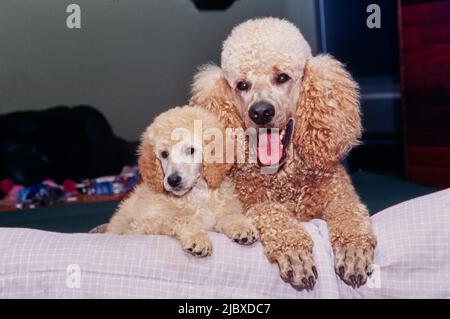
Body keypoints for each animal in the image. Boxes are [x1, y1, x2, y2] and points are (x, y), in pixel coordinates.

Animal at [106, 106, 258, 258]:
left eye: (190, 150)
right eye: (164, 154)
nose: (172, 180)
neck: (195, 196)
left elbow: (229, 215)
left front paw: (242, 226)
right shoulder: (143, 225)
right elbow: (183, 219)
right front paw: (198, 239)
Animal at [190, 18, 376, 292]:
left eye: (282, 77)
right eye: (241, 85)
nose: (260, 112)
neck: (284, 179)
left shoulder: (340, 195)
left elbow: (350, 213)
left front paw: (353, 249)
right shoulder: (251, 205)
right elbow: (272, 214)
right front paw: (295, 253)